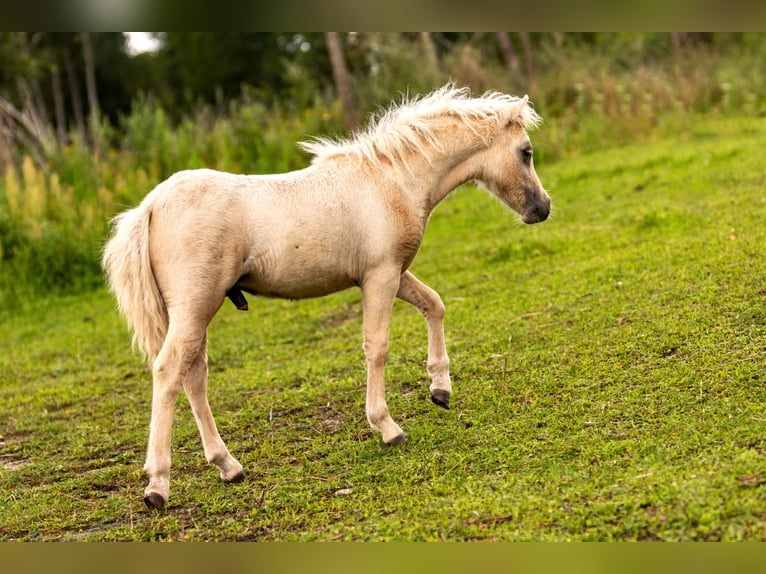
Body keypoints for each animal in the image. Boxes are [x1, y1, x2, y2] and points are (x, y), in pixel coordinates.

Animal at [105, 84, 556, 508]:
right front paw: (387, 427)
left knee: (194, 377)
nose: (543, 208)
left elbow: (435, 304)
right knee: (169, 372)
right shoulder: (380, 277)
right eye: (526, 152)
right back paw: (158, 485)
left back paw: (227, 466)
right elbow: (377, 346)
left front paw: (440, 389)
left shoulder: (393, 273)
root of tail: (150, 206)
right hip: (196, 307)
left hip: (195, 312)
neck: (391, 181)